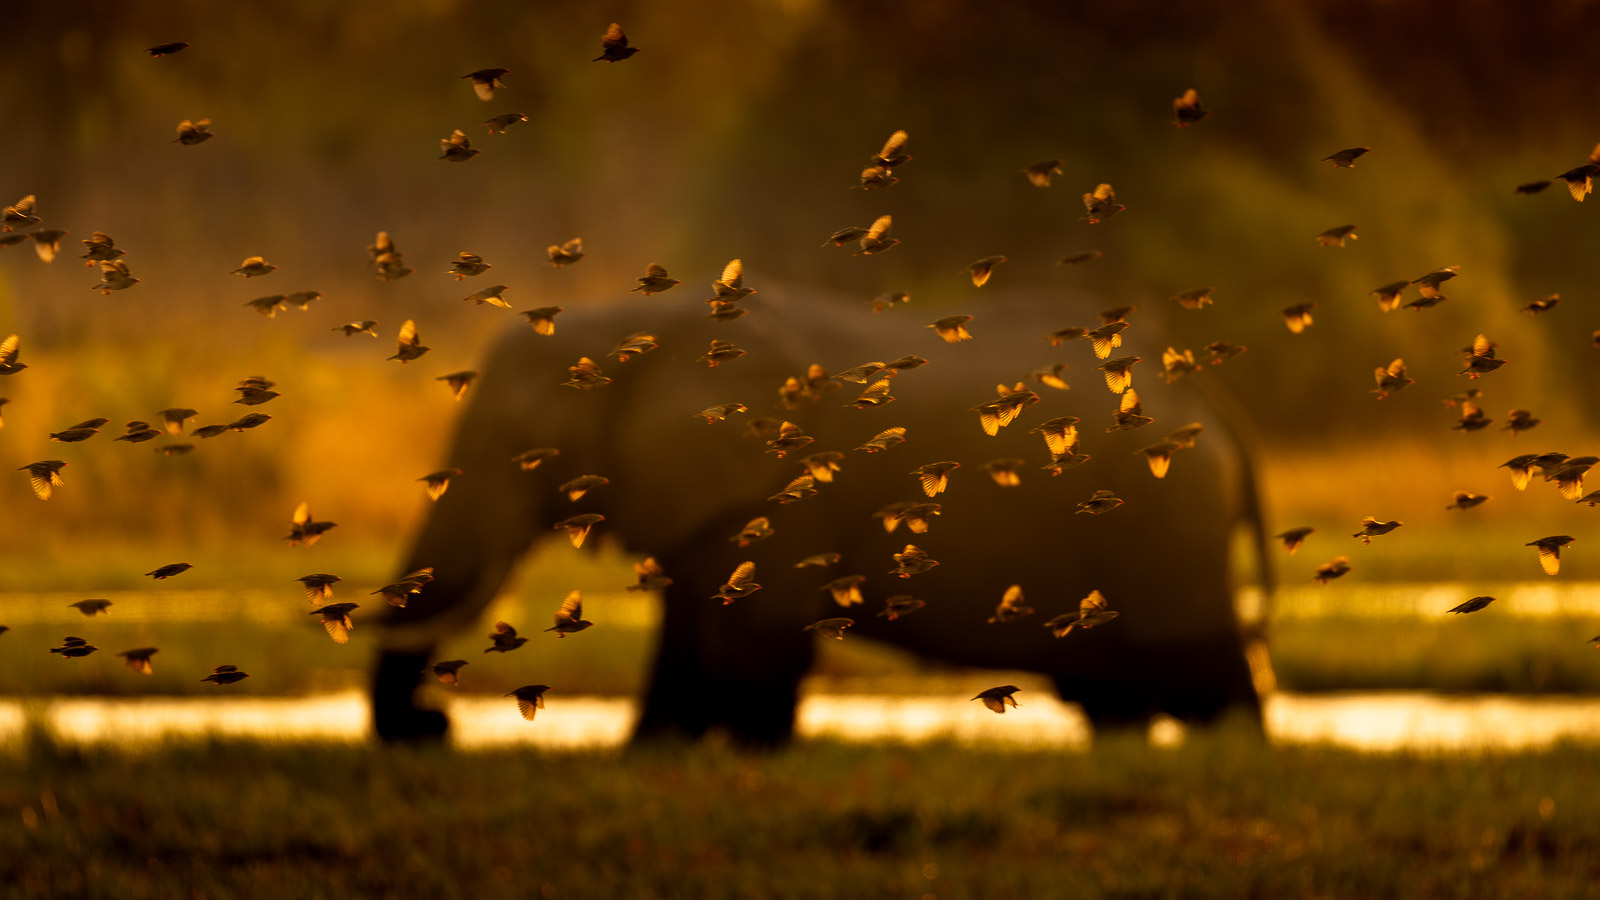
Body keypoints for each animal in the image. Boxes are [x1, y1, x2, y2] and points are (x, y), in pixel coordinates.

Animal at [371, 283, 1271, 744]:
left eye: (526, 448)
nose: (434, 725)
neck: (639, 322)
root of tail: (1215, 408)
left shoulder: (778, 484)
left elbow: (760, 633)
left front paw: (749, 755)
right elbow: (687, 629)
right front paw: (654, 755)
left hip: (1168, 525)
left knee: (1207, 677)